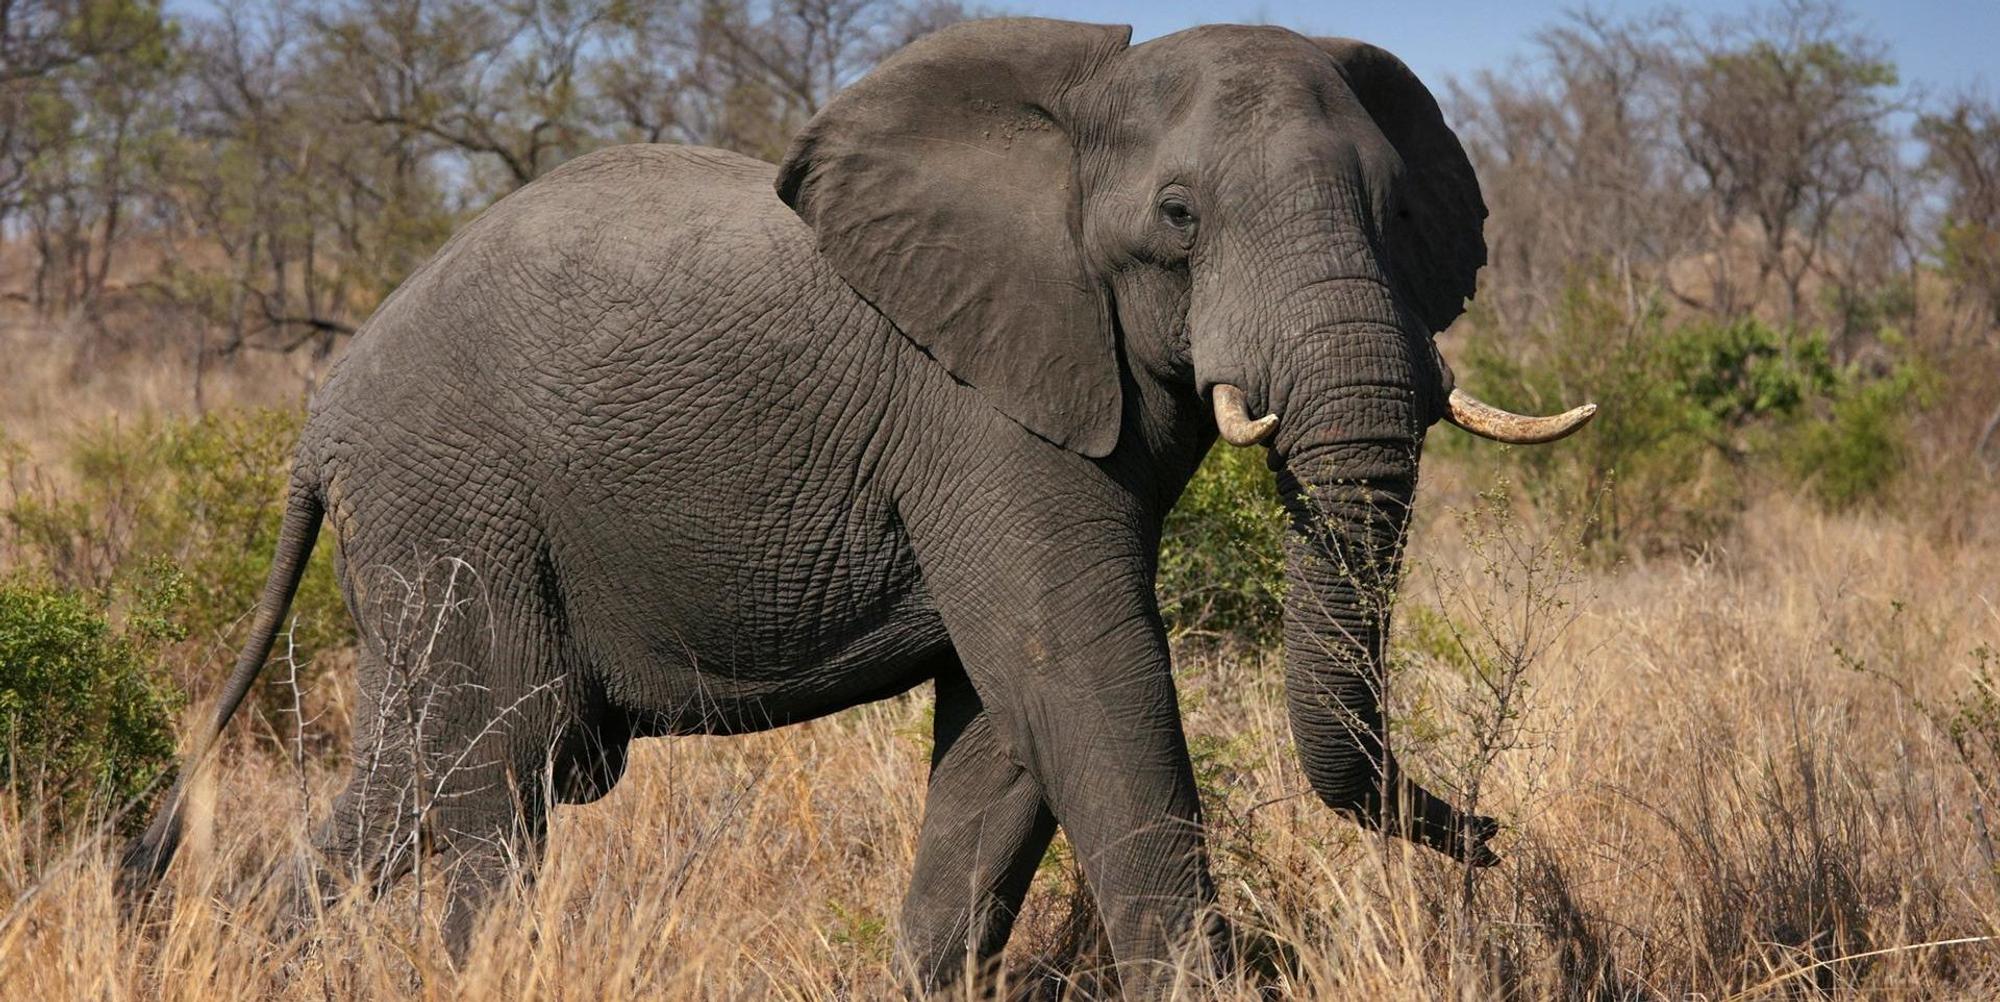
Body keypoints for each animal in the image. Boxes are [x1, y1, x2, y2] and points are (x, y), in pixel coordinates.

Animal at [120, 17, 1594, 996]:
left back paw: (250, 953)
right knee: (500, 769)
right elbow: (1079, 666)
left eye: (1398, 212)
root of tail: (318, 421)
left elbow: (1006, 725)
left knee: (404, 778)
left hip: (429, 528)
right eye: (1178, 216)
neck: (1072, 103)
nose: (1486, 833)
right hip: (457, 502)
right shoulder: (977, 403)